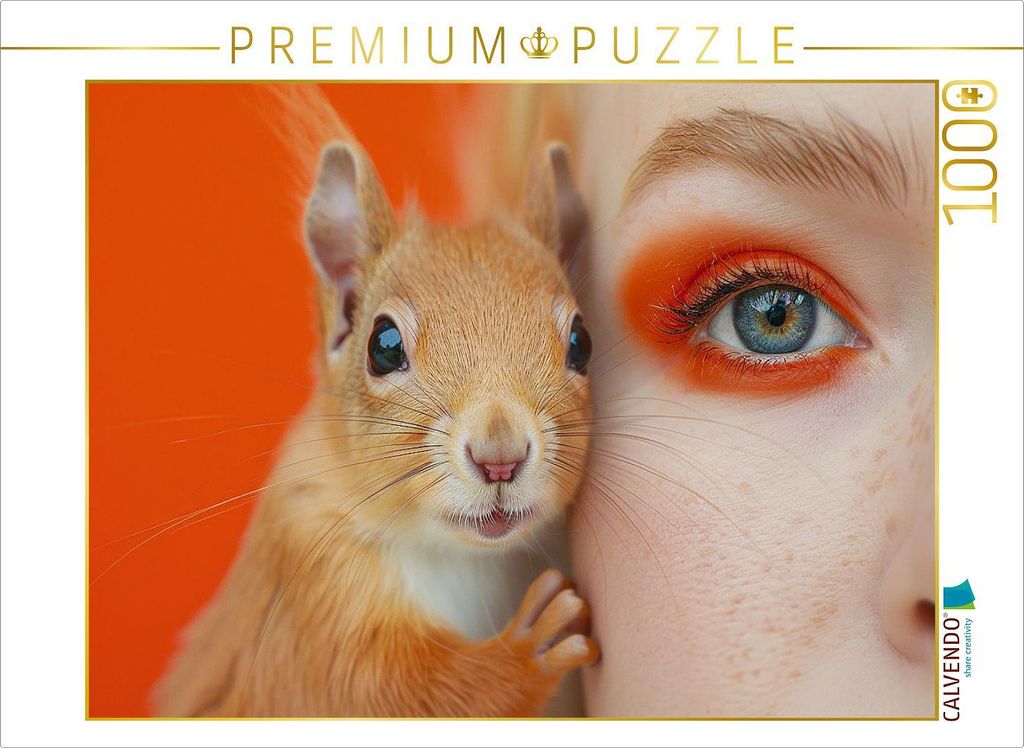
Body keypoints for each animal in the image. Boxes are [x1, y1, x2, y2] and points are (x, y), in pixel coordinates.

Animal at [153, 100, 598, 717]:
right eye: (383, 346)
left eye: (581, 341)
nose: (500, 459)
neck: (465, 556)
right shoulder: (315, 603)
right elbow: (393, 687)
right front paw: (530, 649)